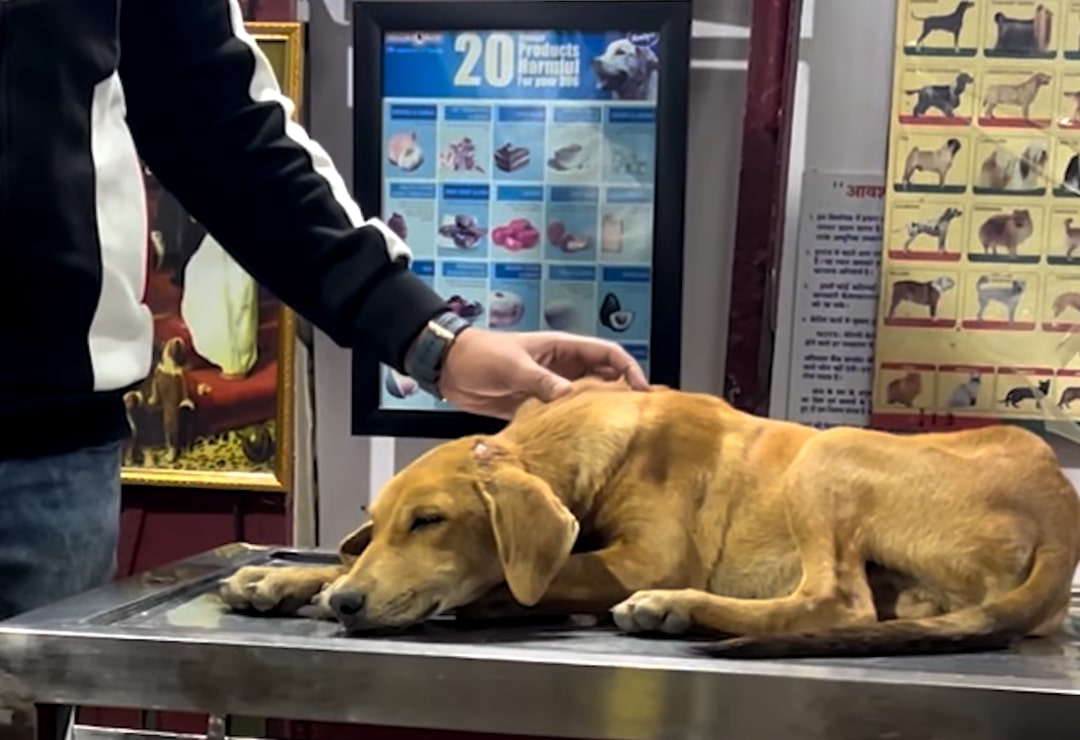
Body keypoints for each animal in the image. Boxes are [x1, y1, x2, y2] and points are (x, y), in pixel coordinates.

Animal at [217, 378, 1080, 656]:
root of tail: (1058, 497)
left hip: (829, 453)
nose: (349, 606)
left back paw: (675, 609)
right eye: (386, 517)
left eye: (430, 522)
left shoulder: (643, 556)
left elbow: (523, 575)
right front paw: (284, 580)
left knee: (836, 599)